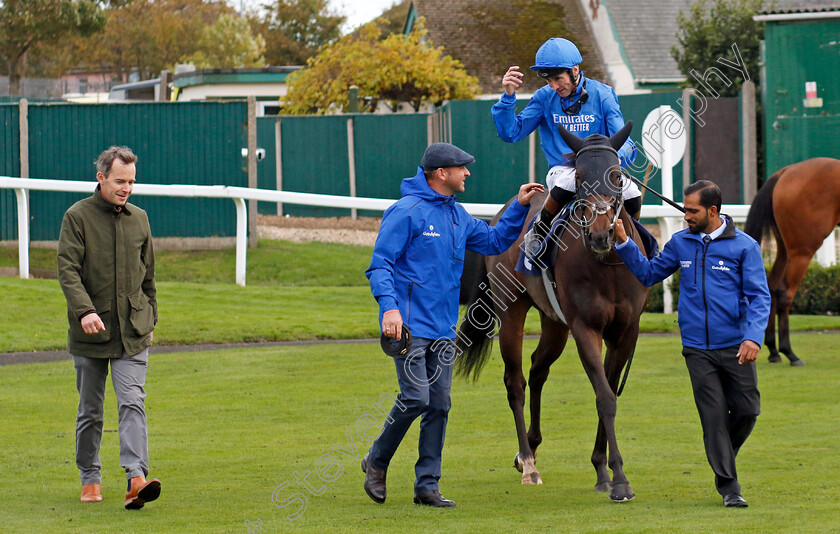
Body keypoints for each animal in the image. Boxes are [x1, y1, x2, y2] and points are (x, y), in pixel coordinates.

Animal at [456, 123, 648, 504]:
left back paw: (529, 447)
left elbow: (610, 389)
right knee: (516, 381)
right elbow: (605, 397)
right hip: (512, 311)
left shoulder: (625, 332)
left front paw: (602, 471)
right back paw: (528, 464)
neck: (608, 264)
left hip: (555, 323)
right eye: (581, 176)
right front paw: (619, 479)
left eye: (617, 176)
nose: (601, 233)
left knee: (538, 368)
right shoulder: (585, 328)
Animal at [744, 158, 836, 368]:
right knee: (784, 292)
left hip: (785, 249)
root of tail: (784, 172)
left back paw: (773, 350)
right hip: (802, 250)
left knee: (770, 288)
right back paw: (789, 353)